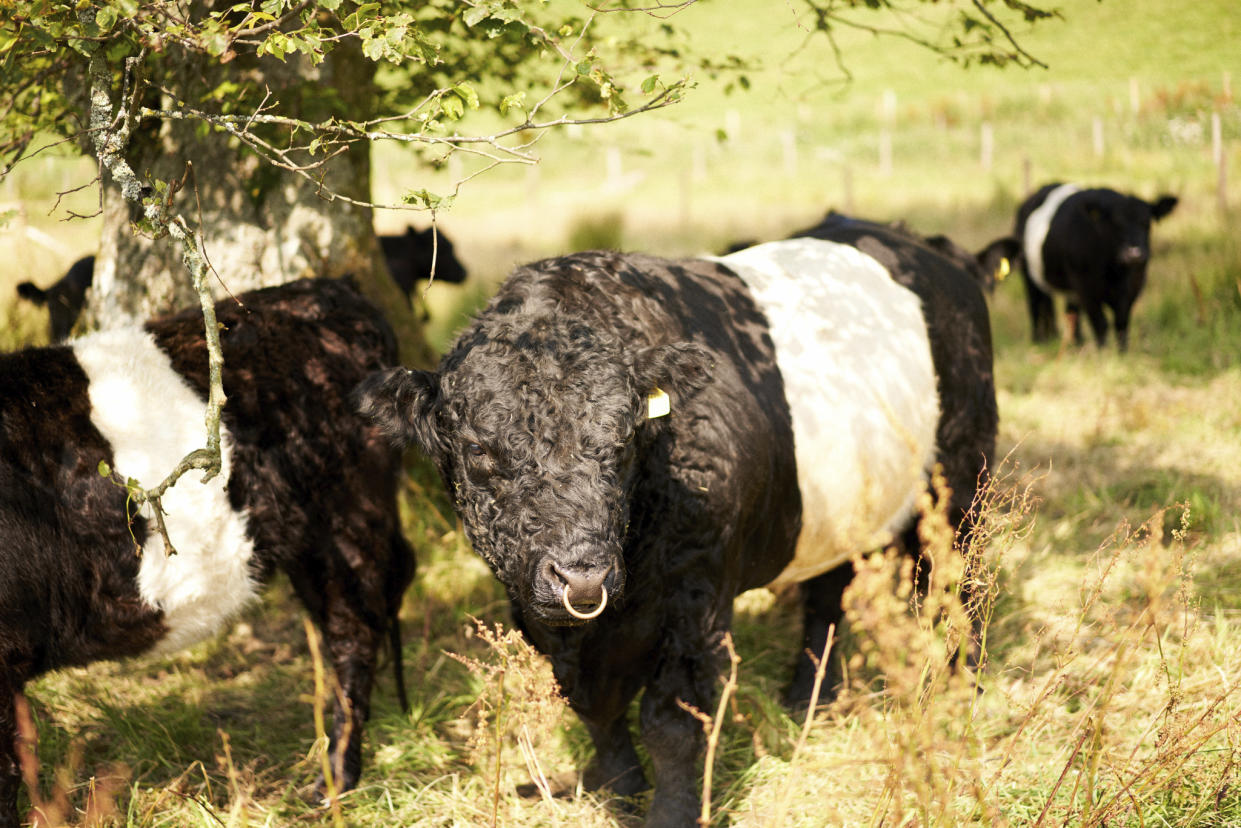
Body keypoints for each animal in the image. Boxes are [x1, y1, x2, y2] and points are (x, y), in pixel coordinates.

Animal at [354, 224, 992, 824]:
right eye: (480, 451)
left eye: (623, 440)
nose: (582, 577)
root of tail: (918, 245)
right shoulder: (537, 613)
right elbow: (593, 708)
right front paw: (621, 786)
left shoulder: (696, 596)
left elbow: (671, 721)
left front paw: (671, 812)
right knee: (826, 597)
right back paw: (809, 698)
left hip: (961, 484)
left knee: (960, 582)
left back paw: (960, 686)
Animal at [997, 181, 1181, 350]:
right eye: (1116, 223)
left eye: (1147, 223)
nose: (1134, 253)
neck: (1116, 272)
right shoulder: (1087, 289)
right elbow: (1101, 324)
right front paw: (1103, 355)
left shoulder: (1133, 289)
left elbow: (1121, 323)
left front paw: (1122, 354)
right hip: (1029, 275)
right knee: (1035, 305)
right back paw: (1039, 341)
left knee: (1067, 311)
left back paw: (1075, 342)